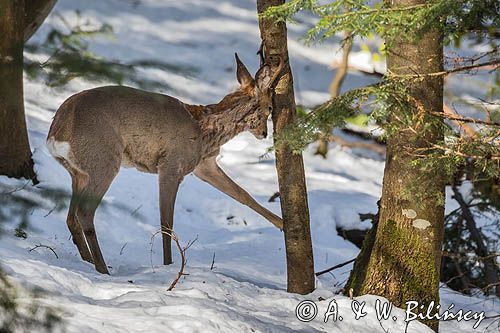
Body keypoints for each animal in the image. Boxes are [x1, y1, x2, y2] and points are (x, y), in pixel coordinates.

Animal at [47, 53, 286, 274]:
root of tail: (57, 132)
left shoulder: (203, 165)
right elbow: (166, 223)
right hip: (103, 161)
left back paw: (87, 262)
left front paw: (282, 224)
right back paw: (103, 269)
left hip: (80, 172)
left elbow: (243, 194)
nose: (264, 133)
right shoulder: (171, 165)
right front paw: (169, 265)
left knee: (71, 216)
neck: (206, 132)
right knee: (85, 212)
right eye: (269, 108)